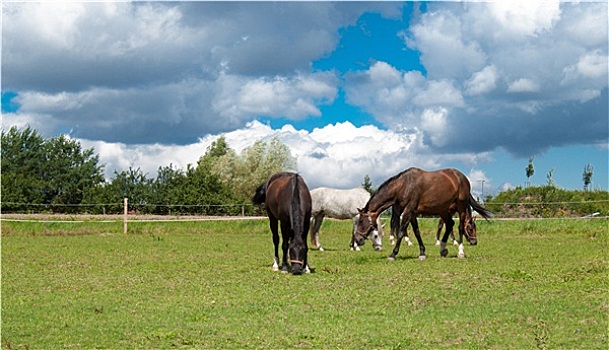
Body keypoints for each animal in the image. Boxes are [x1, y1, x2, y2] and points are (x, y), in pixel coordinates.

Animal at [354, 168, 492, 262]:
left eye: (361, 221)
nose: (358, 239)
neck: (404, 185)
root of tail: (462, 177)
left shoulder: (408, 211)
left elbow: (401, 231)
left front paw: (393, 254)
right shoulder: (412, 213)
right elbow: (416, 232)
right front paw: (422, 253)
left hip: (461, 206)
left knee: (460, 227)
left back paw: (460, 252)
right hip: (443, 209)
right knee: (449, 224)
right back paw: (443, 249)